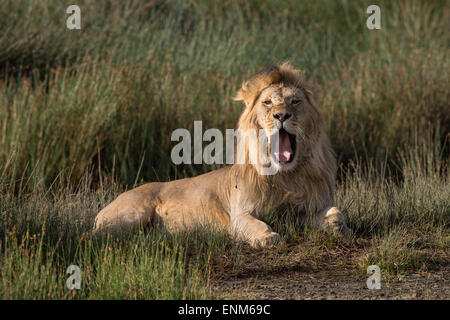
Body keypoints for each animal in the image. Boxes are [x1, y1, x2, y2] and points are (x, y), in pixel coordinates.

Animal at [92, 63, 352, 248]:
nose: (281, 115)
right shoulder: (239, 215)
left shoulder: (306, 208)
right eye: (268, 102)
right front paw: (267, 238)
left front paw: (338, 226)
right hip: (129, 215)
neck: (286, 176)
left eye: (295, 101)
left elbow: (336, 212)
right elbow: (255, 225)